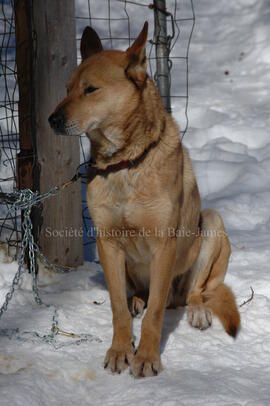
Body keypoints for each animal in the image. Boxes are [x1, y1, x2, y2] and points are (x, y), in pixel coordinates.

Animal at [49, 21, 239, 378]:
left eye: (90, 89)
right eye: (67, 88)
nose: (52, 120)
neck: (124, 162)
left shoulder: (164, 244)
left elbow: (155, 317)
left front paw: (148, 357)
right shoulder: (107, 242)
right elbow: (117, 309)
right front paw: (120, 350)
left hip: (210, 223)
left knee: (194, 292)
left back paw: (195, 310)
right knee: (140, 295)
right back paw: (137, 299)